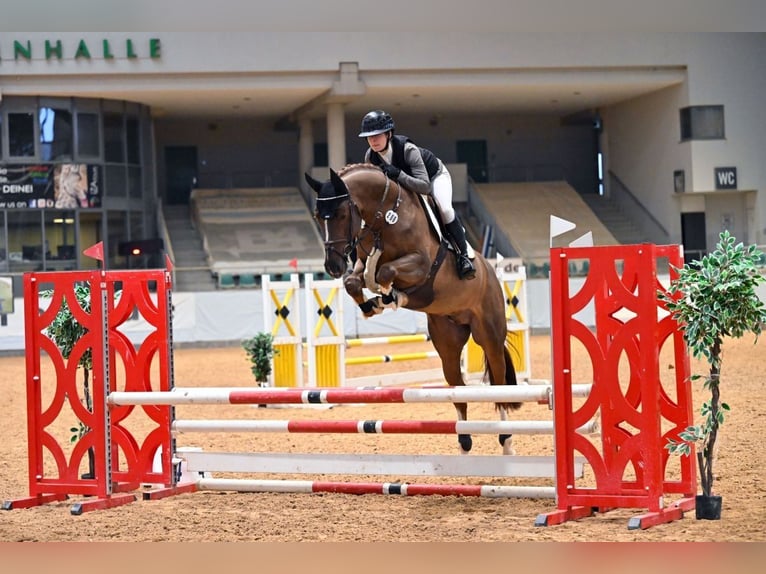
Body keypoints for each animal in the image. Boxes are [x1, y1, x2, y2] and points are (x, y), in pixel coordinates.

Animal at [306, 164, 520, 456]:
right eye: (318, 216)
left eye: (340, 213)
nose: (333, 266)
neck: (383, 217)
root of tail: (491, 271)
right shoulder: (361, 263)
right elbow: (355, 281)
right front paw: (372, 304)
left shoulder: (421, 264)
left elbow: (385, 272)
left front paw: (390, 296)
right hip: (448, 342)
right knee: (459, 389)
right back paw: (464, 443)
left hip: (489, 335)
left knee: (498, 384)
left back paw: (506, 441)